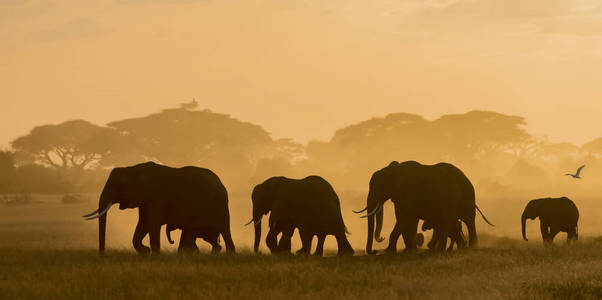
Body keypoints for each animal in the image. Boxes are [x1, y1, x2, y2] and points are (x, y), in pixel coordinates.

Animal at [83, 161, 233, 254]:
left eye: (118, 185)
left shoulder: (156, 197)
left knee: (224, 229)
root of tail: (221, 183)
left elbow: (153, 224)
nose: (103, 255)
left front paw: (154, 255)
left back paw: (230, 255)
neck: (133, 169)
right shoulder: (145, 200)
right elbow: (143, 224)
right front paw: (146, 252)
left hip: (219, 204)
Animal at [354, 161, 490, 254]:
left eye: (376, 187)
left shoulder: (408, 193)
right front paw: (406, 250)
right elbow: (404, 219)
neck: (392, 170)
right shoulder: (400, 197)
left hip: (466, 195)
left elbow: (405, 217)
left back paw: (468, 248)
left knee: (467, 220)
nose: (374, 251)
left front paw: (394, 251)